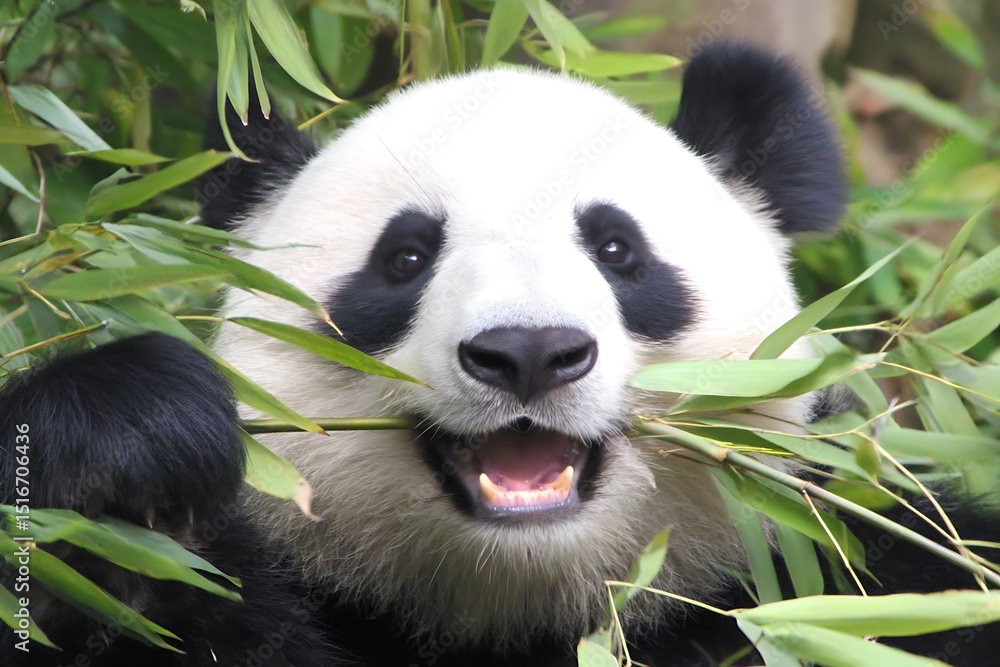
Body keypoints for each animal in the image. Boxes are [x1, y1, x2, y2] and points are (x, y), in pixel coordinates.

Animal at [2, 43, 997, 667]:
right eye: (405, 258)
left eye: (617, 250)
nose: (528, 352)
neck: (523, 603)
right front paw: (130, 465)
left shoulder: (843, 576)